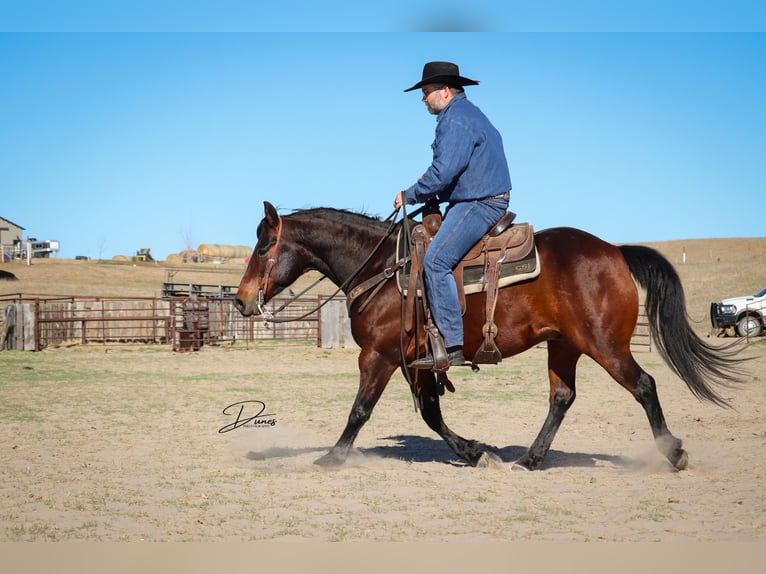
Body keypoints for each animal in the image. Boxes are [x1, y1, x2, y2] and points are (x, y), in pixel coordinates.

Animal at [234, 201, 743, 471]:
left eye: (263, 246)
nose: (240, 301)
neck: (383, 268)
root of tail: (615, 252)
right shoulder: (419, 361)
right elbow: (431, 414)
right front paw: (473, 451)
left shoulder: (379, 356)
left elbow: (360, 409)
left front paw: (333, 457)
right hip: (564, 346)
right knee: (562, 397)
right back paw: (530, 459)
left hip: (604, 346)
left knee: (644, 385)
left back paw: (673, 452)